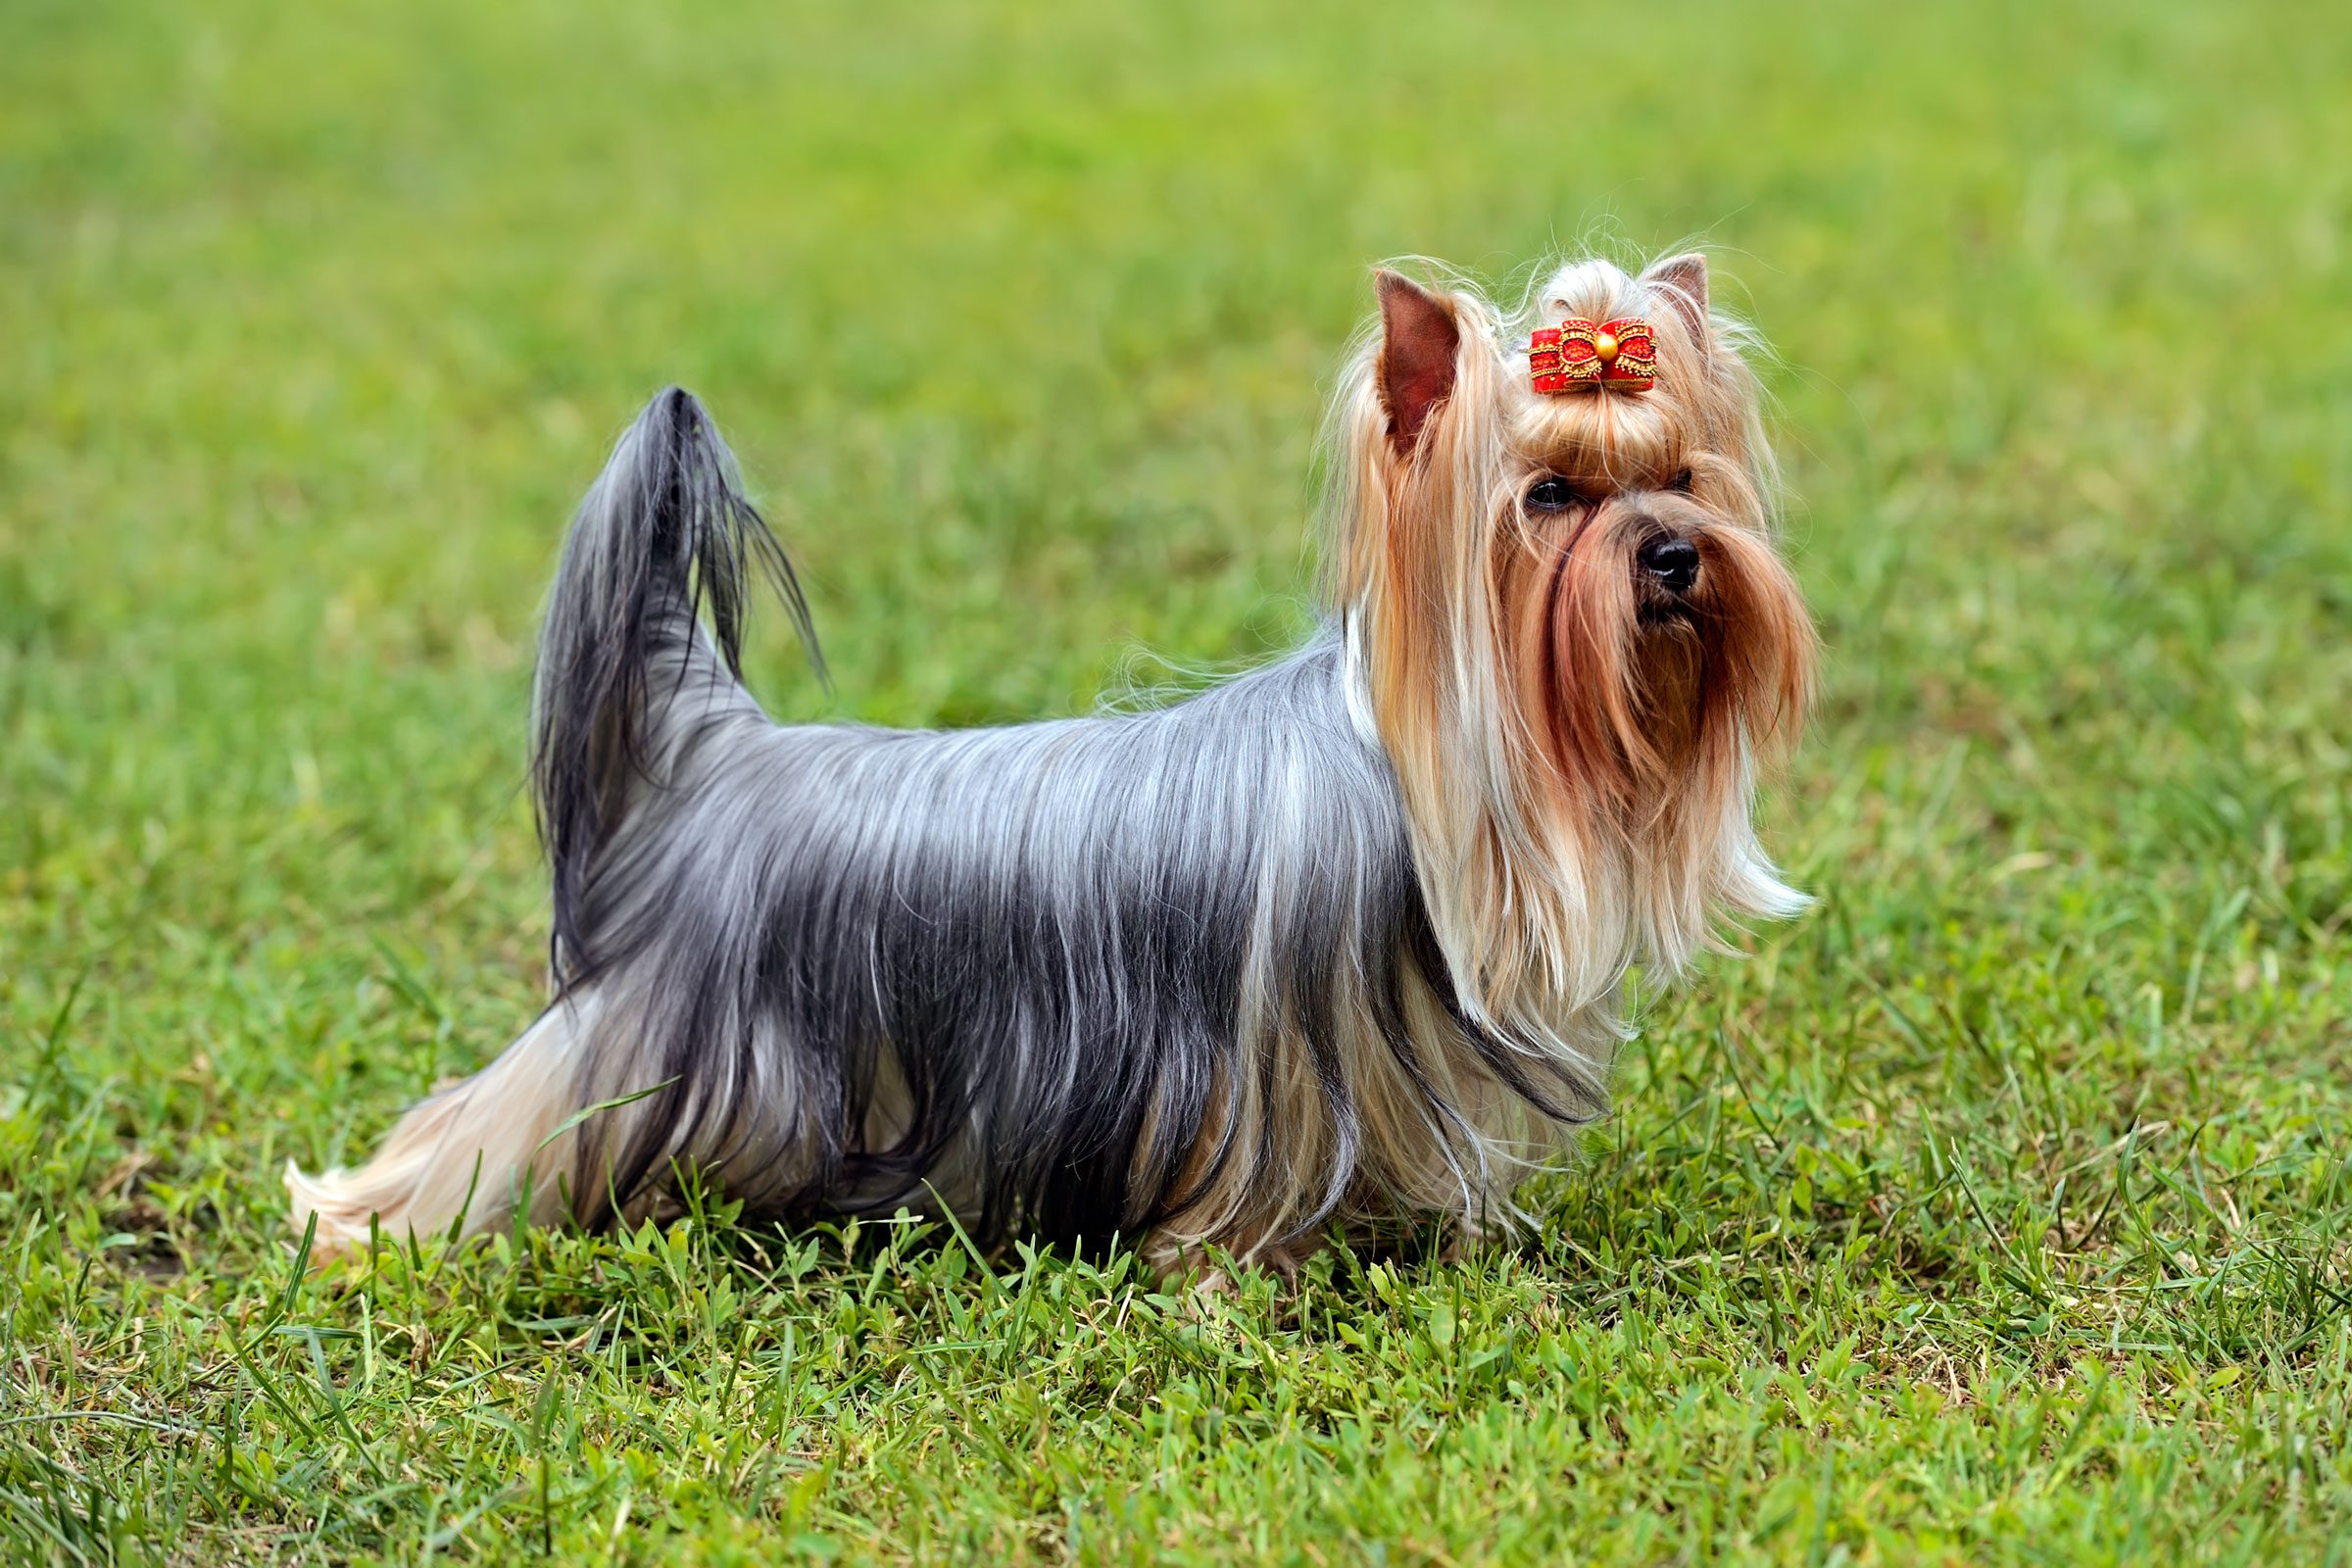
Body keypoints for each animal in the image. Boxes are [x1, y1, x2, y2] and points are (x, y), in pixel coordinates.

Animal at [284, 248, 1806, 1278]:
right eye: (1548, 496)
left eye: (1680, 476)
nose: (1675, 556)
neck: (1411, 768)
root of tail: (723, 759)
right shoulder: (1259, 1079)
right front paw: (1226, 1279)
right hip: (655, 1039)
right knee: (500, 1122)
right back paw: (357, 1222)